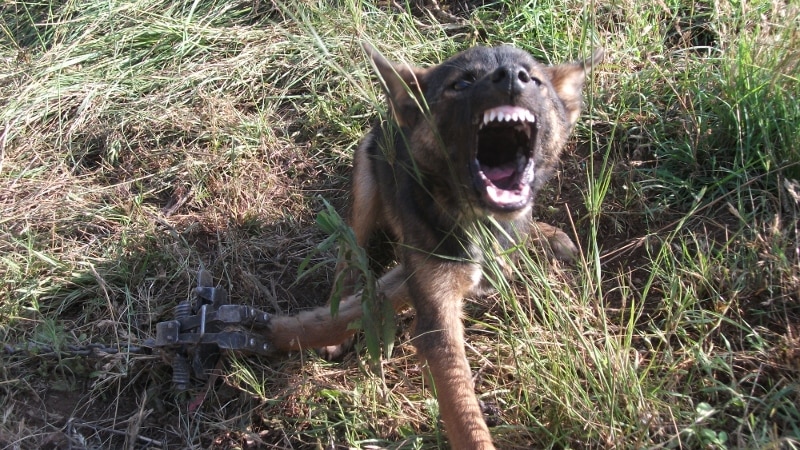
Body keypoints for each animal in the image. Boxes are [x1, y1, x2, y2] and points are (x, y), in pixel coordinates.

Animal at [266, 43, 604, 450]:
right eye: (462, 83)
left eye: (534, 79)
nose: (510, 76)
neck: (478, 220)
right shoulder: (436, 311)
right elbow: (463, 412)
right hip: (366, 176)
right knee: (350, 250)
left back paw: (544, 234)